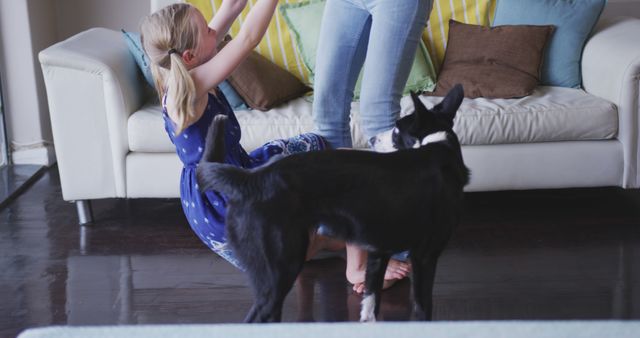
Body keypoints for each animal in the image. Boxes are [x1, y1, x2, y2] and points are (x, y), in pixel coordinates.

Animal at [198, 84, 468, 322]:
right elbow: (423, 310)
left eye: (396, 131)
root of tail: (252, 178)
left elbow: (370, 307)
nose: (371, 140)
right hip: (279, 270)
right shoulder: (425, 256)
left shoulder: (379, 252)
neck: (437, 146)